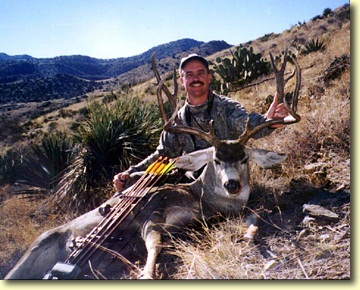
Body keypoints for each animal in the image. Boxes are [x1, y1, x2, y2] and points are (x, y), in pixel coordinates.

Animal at [4, 49, 300, 278]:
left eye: (244, 158)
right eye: (216, 159)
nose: (232, 185)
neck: (201, 201)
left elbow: (256, 217)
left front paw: (248, 236)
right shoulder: (151, 211)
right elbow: (156, 245)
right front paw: (146, 274)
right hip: (34, 250)